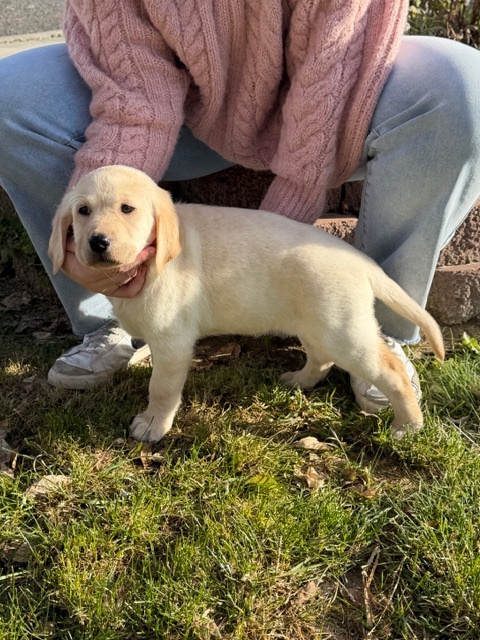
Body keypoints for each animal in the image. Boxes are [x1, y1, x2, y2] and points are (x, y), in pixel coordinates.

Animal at [49, 165, 444, 442]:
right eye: (83, 211)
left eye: (127, 209)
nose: (98, 242)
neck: (157, 260)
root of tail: (360, 261)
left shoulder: (172, 343)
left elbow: (160, 388)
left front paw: (152, 425)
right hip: (318, 324)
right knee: (321, 358)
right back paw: (299, 380)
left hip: (344, 331)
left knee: (391, 372)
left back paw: (408, 425)